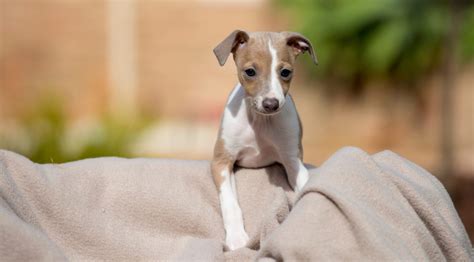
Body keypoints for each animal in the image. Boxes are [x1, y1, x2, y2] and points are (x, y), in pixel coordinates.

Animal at [212, 30, 318, 250]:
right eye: (250, 71)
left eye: (285, 72)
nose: (271, 104)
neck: (260, 122)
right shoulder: (221, 161)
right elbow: (229, 201)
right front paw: (236, 237)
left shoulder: (292, 160)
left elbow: (304, 185)